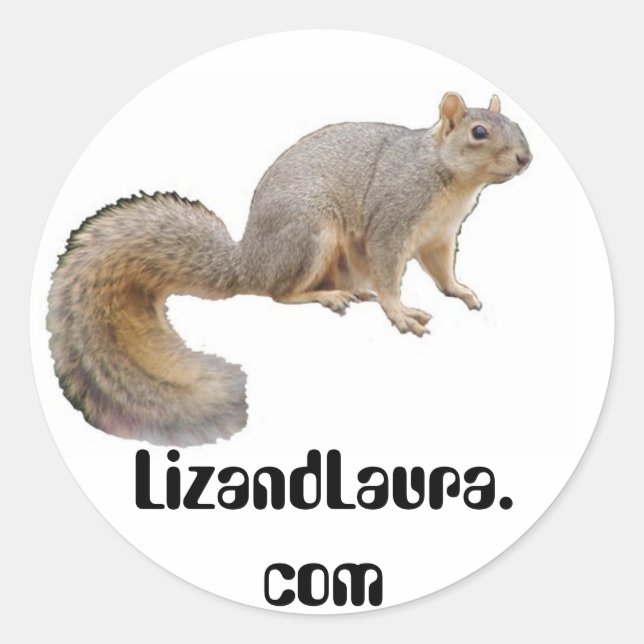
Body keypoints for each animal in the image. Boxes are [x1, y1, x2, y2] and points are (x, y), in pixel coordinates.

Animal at [48, 92, 531, 446]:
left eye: (516, 126)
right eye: (479, 132)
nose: (526, 159)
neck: (449, 177)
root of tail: (250, 262)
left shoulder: (440, 236)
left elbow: (444, 272)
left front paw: (461, 291)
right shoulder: (392, 220)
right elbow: (390, 273)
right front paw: (401, 313)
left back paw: (355, 292)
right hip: (310, 233)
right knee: (278, 293)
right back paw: (326, 295)